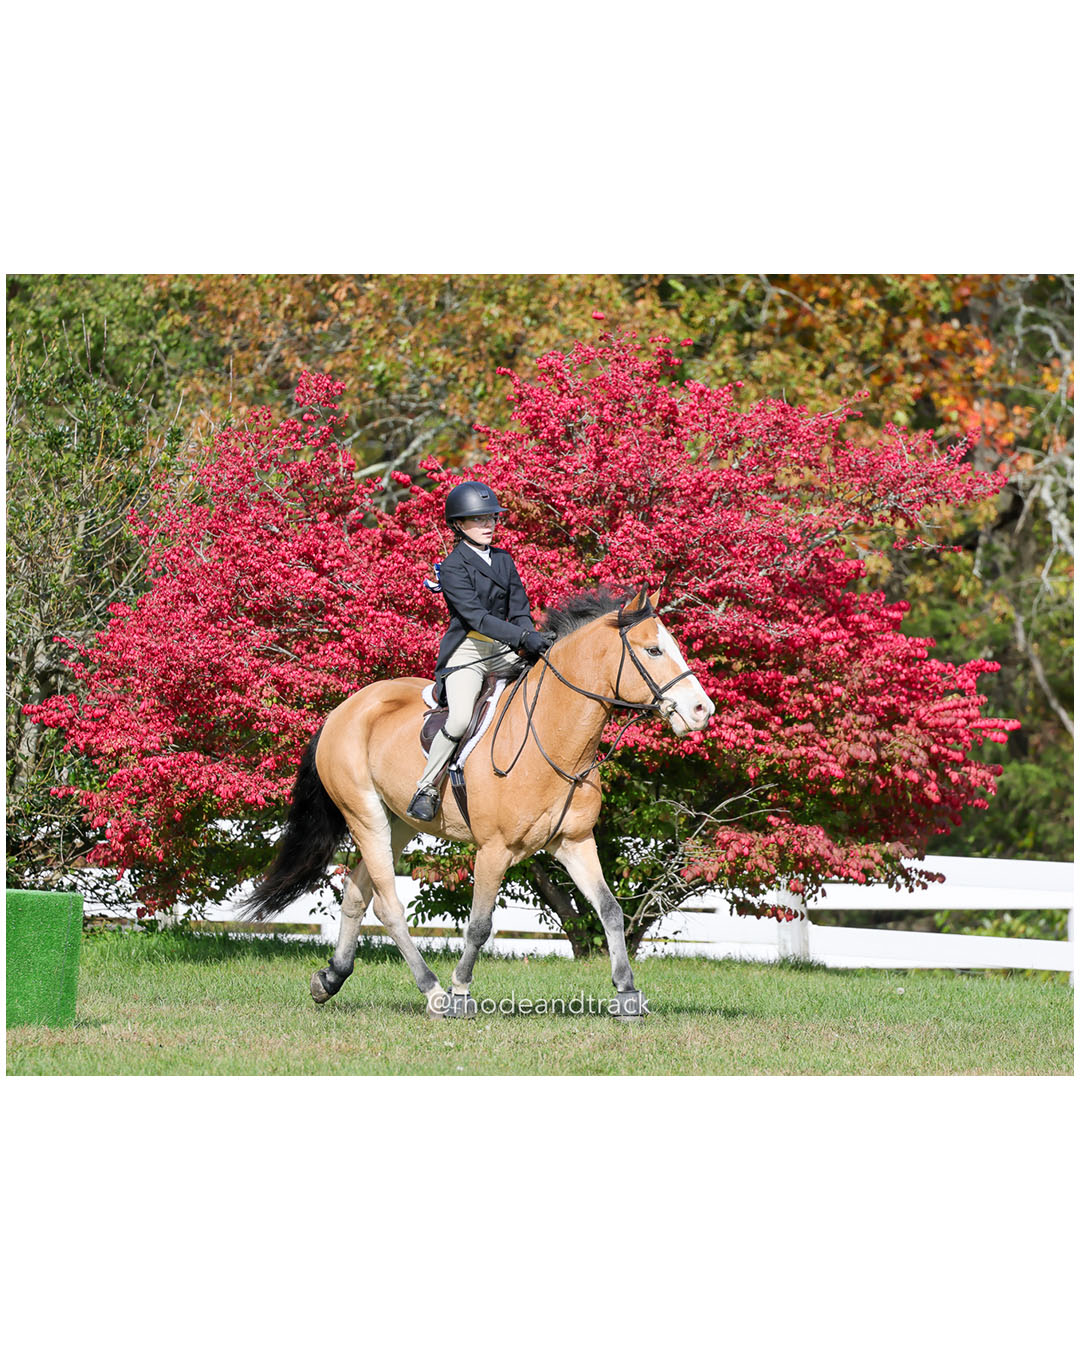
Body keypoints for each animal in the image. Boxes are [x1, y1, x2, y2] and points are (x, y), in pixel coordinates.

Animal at [241, 586, 715, 1019]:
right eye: (653, 650)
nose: (702, 710)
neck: (555, 737)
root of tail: (345, 709)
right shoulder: (494, 850)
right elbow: (480, 924)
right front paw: (460, 993)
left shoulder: (575, 843)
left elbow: (610, 910)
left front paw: (627, 993)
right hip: (366, 817)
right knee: (389, 904)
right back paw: (432, 991)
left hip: (399, 822)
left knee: (360, 893)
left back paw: (331, 977)